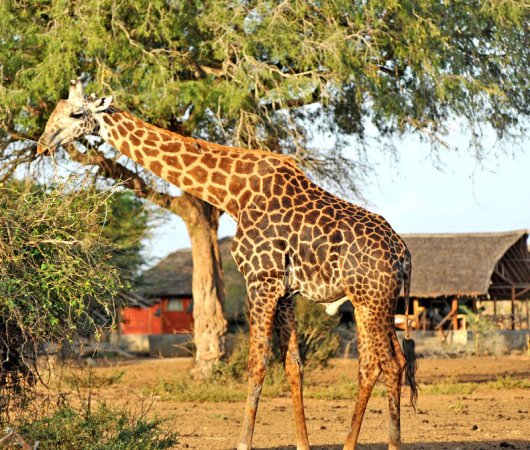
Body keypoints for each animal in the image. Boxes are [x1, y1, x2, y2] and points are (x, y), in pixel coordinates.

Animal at [38, 79, 416, 450]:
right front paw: (302, 443)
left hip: (372, 299)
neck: (233, 193)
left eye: (75, 114)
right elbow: (292, 364)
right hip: (370, 302)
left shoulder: (261, 280)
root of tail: (403, 255)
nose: (42, 145)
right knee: (378, 363)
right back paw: (351, 443)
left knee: (389, 363)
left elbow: (256, 363)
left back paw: (393, 443)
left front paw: (244, 443)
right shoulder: (285, 290)